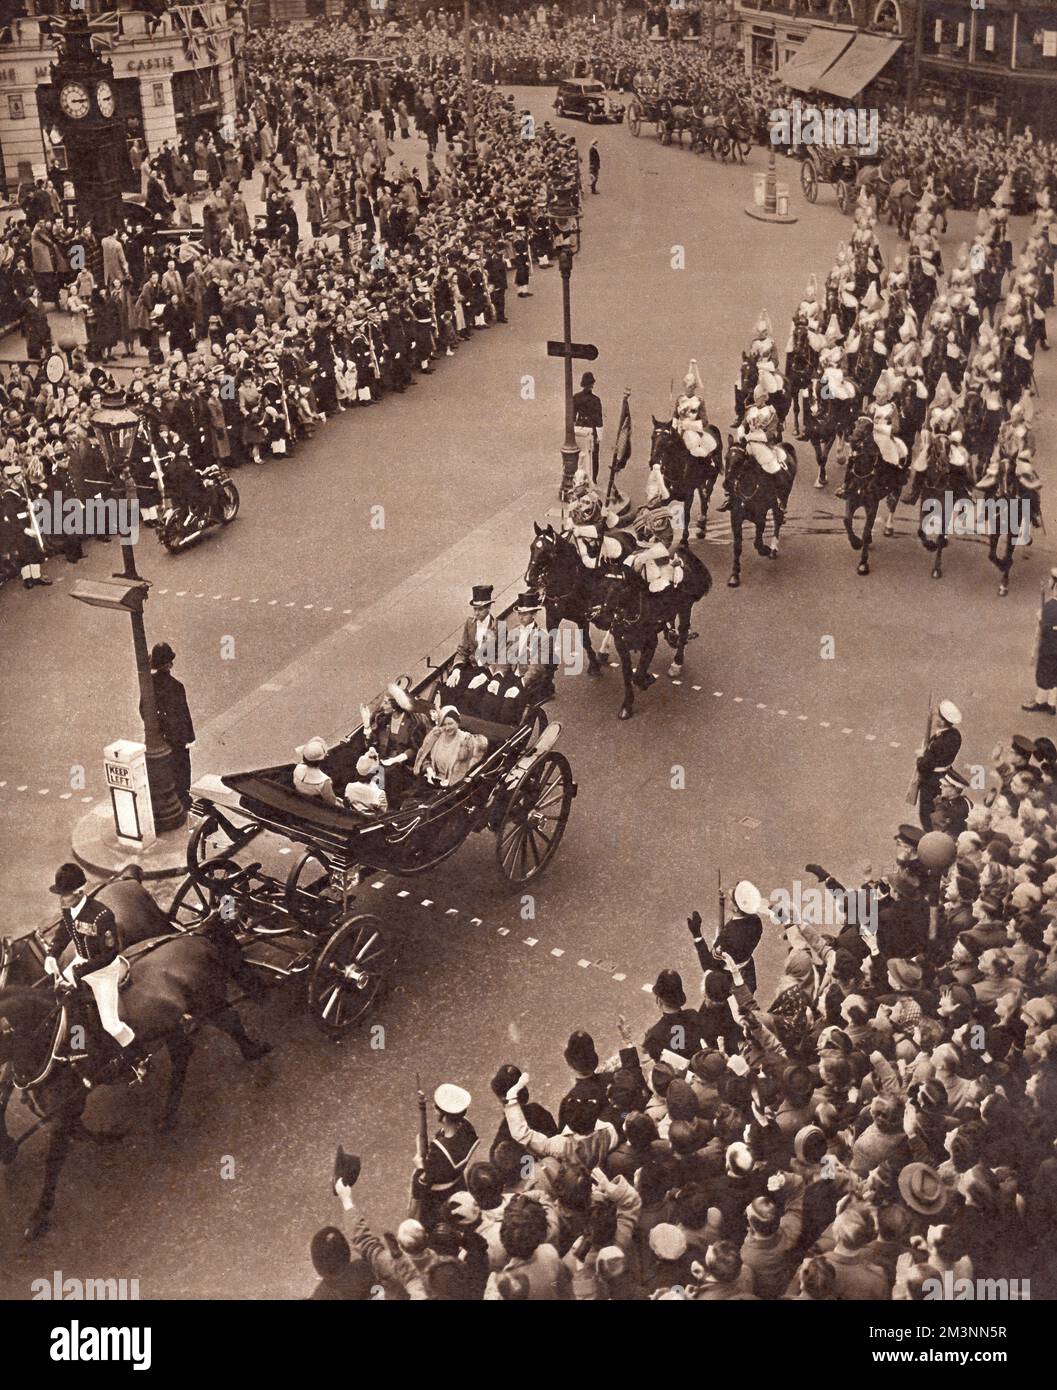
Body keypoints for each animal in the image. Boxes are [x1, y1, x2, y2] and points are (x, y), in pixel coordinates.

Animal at [0, 872, 268, 1245]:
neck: (50, 1034)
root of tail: (195, 935)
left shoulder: (66, 1105)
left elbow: (54, 1160)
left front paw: (39, 1216)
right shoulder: (60, 1102)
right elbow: (74, 1132)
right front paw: (105, 1137)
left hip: (208, 1002)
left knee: (228, 1022)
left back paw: (252, 1050)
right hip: (176, 1019)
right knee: (184, 1051)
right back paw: (169, 1112)